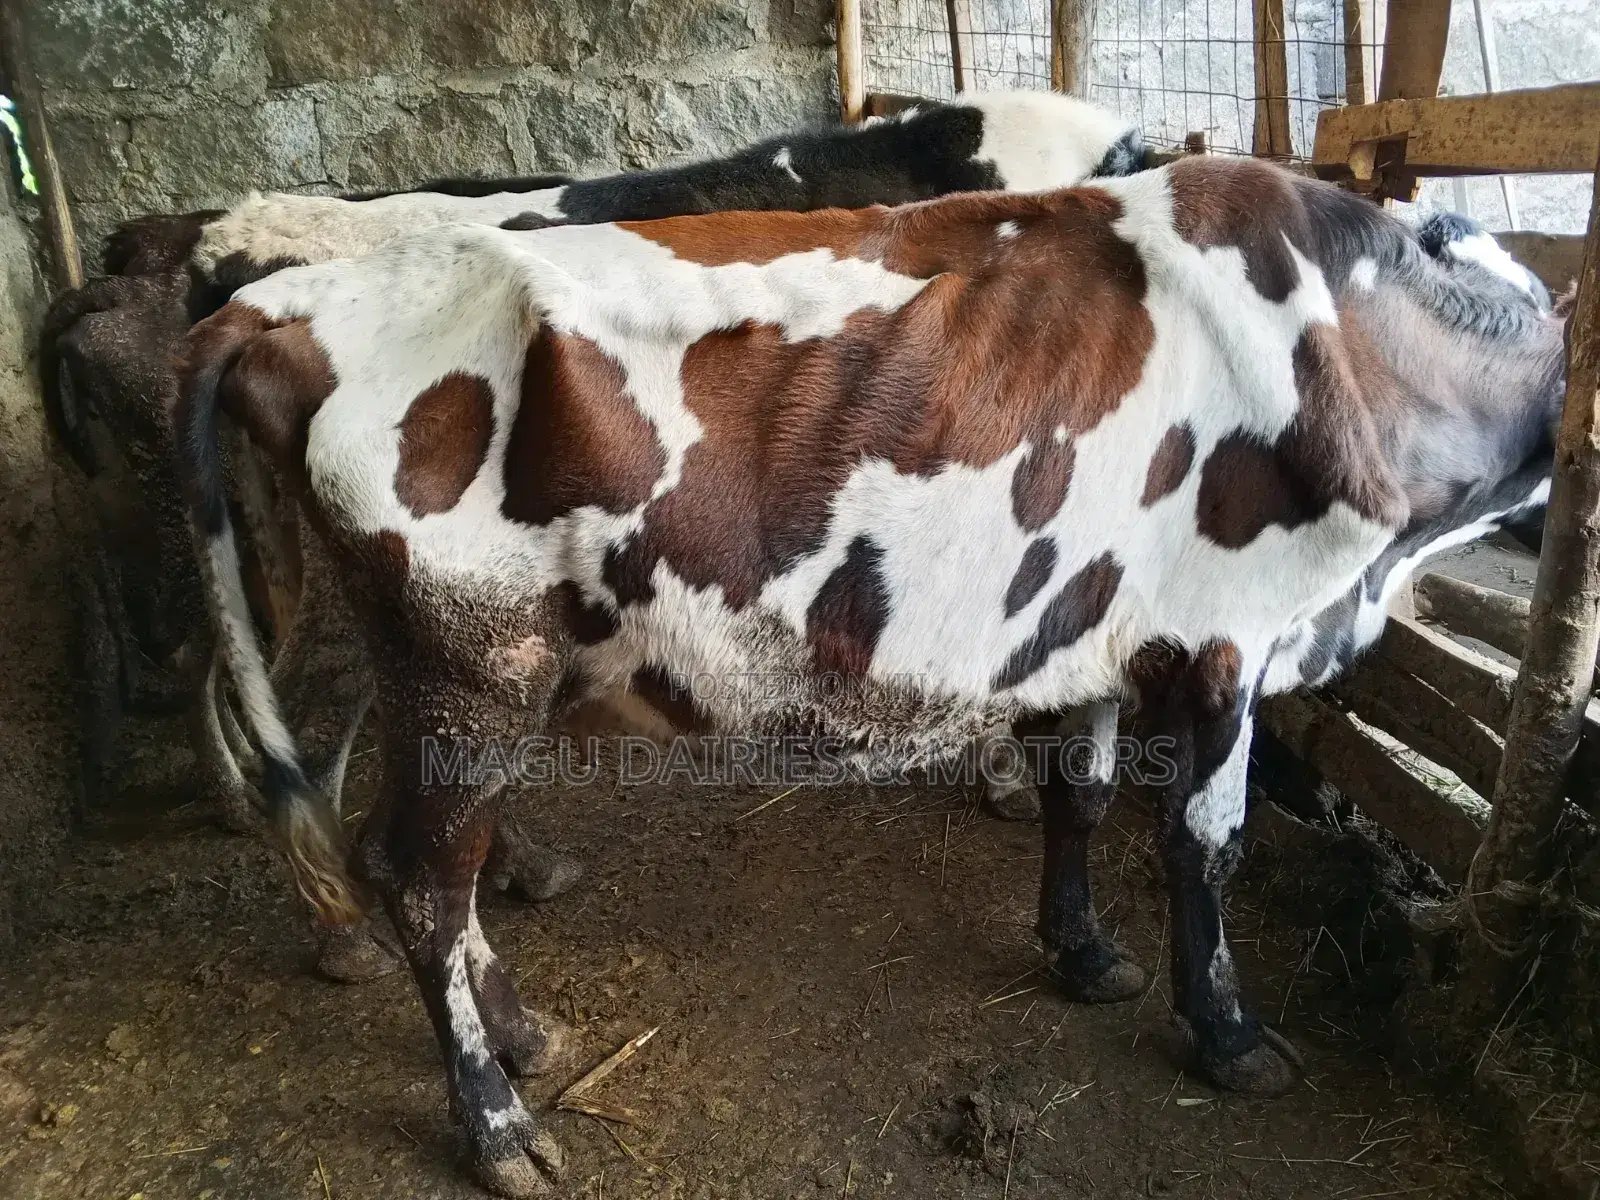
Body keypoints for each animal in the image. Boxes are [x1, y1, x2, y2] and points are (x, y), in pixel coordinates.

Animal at [174, 152, 1563, 1194]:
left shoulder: (1093, 628)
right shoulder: (1228, 634)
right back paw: (497, 1123)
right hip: (471, 664)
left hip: (408, 657)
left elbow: (1079, 799)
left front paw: (1081, 955)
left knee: (393, 848)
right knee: (420, 877)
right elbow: (1201, 845)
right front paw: (1226, 1035)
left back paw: (514, 1034)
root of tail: (288, 301)